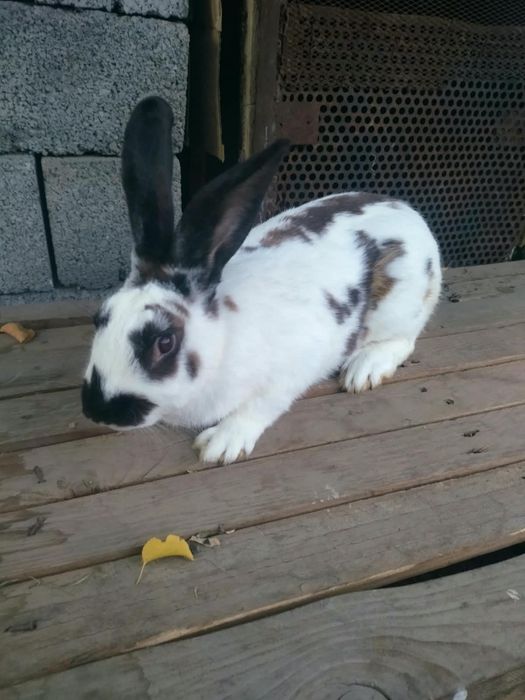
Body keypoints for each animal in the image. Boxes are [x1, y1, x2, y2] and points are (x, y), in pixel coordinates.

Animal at [82, 95, 442, 464]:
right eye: (100, 318)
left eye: (164, 342)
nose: (99, 410)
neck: (223, 340)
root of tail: (408, 212)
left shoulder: (288, 374)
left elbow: (258, 408)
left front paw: (220, 444)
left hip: (400, 307)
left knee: (404, 340)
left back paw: (363, 370)